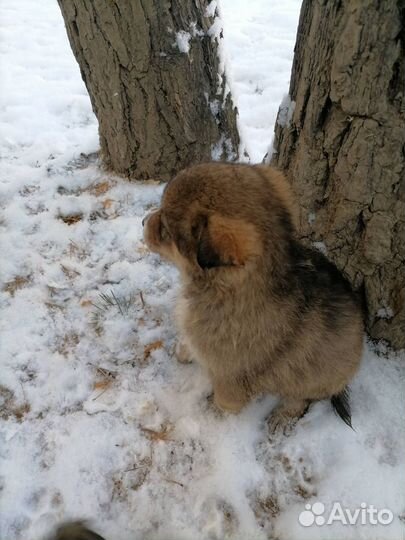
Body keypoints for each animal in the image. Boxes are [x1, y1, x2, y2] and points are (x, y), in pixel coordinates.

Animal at [143, 162, 362, 432]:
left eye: (165, 229)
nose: (142, 221)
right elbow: (189, 342)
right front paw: (183, 351)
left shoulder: (231, 376)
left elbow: (225, 401)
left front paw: (212, 416)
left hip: (315, 377)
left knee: (302, 398)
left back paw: (283, 416)